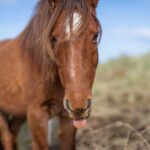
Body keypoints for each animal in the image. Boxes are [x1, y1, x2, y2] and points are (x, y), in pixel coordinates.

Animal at [0, 0, 102, 149]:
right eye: (53, 38)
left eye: (95, 36)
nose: (78, 105)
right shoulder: (36, 115)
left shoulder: (67, 118)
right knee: (7, 137)